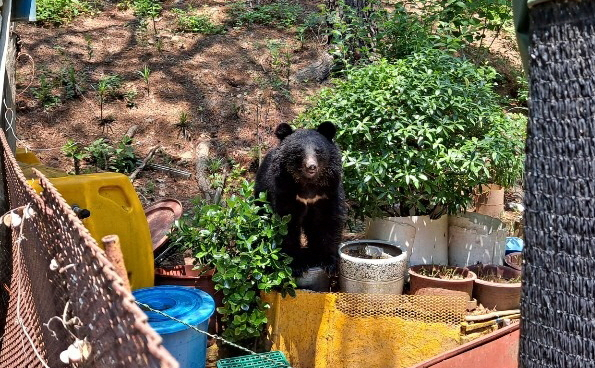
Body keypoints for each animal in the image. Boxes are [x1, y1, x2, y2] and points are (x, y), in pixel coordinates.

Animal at [255, 122, 346, 274]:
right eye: (299, 152)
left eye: (318, 151)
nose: (311, 166)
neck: (308, 184)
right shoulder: (284, 191)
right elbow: (287, 226)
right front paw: (296, 265)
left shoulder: (328, 193)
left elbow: (328, 222)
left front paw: (329, 264)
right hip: (261, 193)